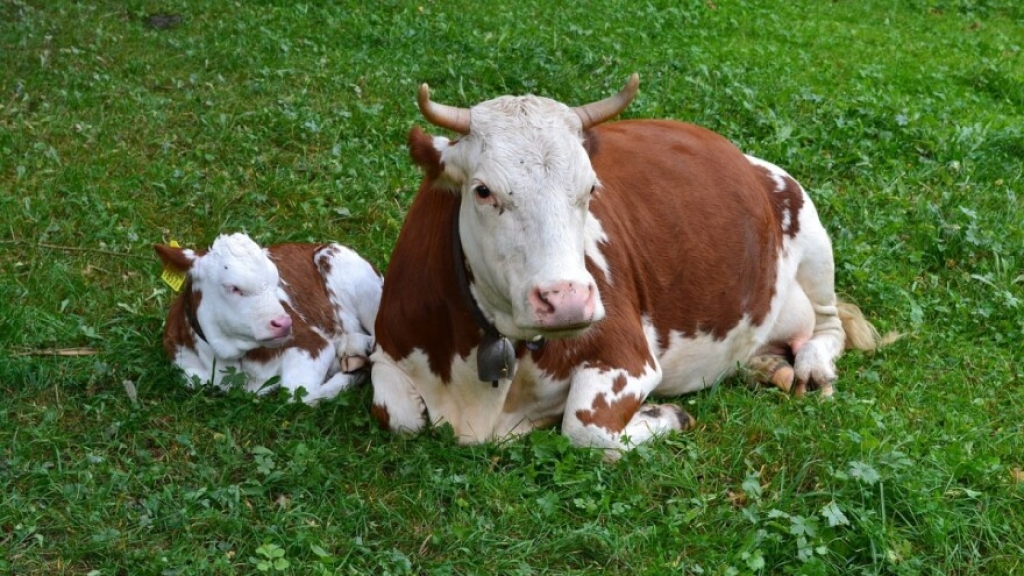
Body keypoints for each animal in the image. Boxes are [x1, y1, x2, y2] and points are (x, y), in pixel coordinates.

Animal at [155, 229, 385, 403]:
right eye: (233, 287)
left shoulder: (313, 343)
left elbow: (296, 394)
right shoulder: (184, 366)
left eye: (276, 281)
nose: (284, 323)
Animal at [370, 75, 888, 453]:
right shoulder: (388, 347)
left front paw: (666, 414)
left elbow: (586, 429)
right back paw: (766, 366)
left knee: (829, 326)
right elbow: (398, 415)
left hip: (811, 232)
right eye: (483, 190)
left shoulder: (627, 357)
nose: (567, 300)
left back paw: (810, 367)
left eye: (591, 188)